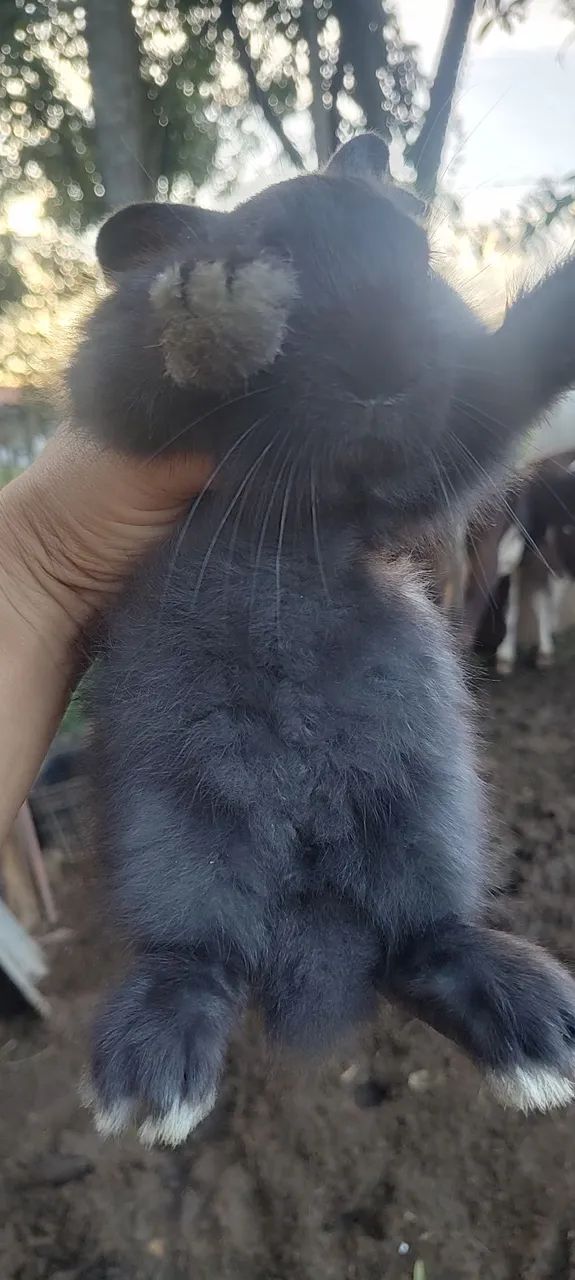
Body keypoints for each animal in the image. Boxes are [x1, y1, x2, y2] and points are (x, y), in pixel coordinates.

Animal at [68, 132, 575, 1147]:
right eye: (283, 256)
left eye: (417, 253)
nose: (384, 369)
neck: (310, 503)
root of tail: (311, 894)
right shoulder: (128, 414)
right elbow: (140, 366)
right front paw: (217, 296)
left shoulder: (444, 447)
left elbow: (509, 379)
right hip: (169, 828)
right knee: (199, 957)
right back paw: (152, 1082)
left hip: (430, 806)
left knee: (419, 943)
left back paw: (535, 1035)